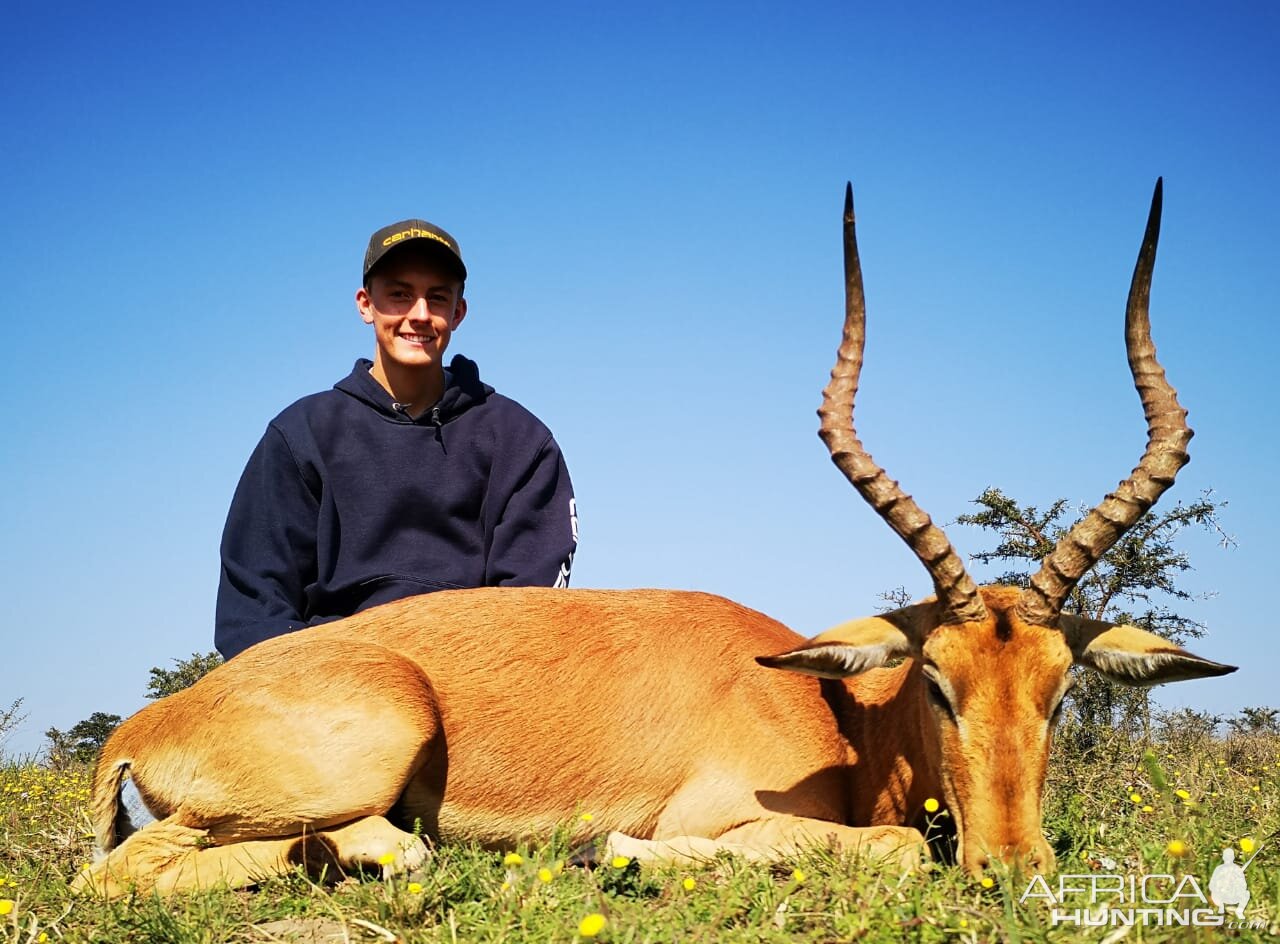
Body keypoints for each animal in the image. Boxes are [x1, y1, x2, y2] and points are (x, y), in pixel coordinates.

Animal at [77, 180, 1228, 895]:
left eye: (1057, 690)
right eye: (938, 682)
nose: (1015, 870)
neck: (828, 708)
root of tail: (147, 721)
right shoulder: (727, 818)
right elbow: (898, 845)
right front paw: (613, 852)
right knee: (126, 871)